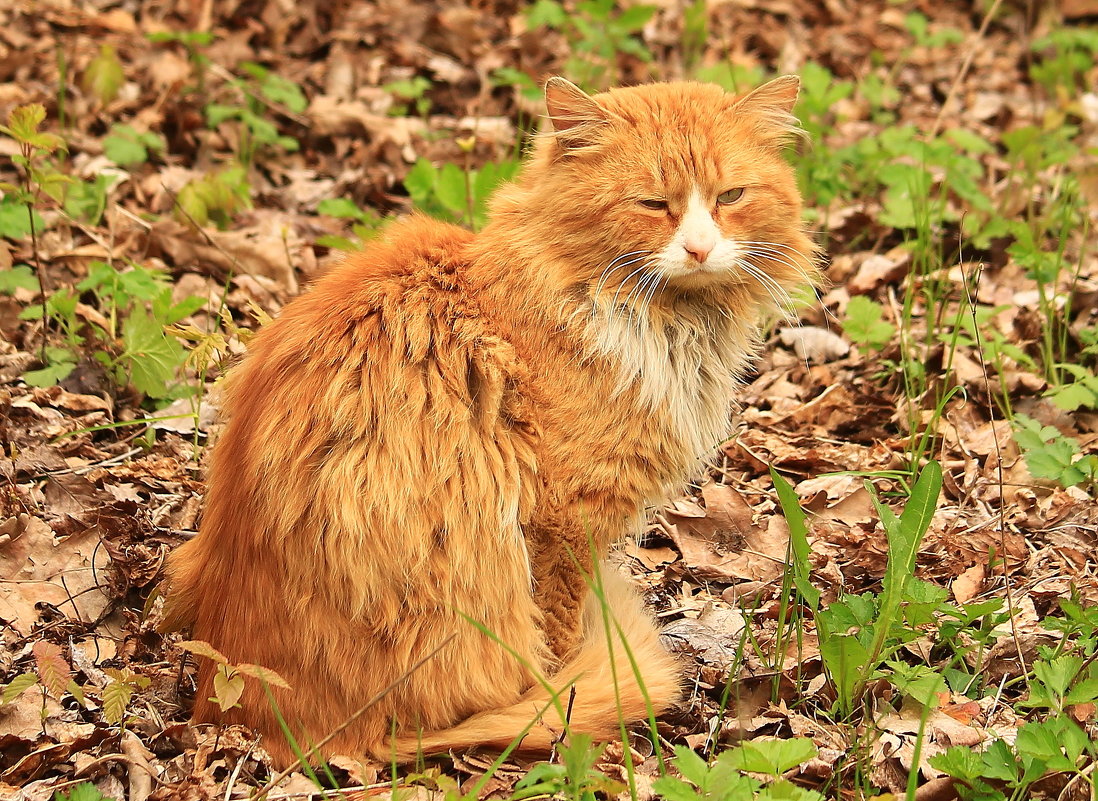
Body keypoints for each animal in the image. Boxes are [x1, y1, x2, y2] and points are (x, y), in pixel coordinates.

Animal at [160, 74, 816, 759]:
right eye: (652, 203)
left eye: (730, 197)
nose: (699, 248)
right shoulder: (563, 525)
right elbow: (559, 635)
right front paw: (564, 691)